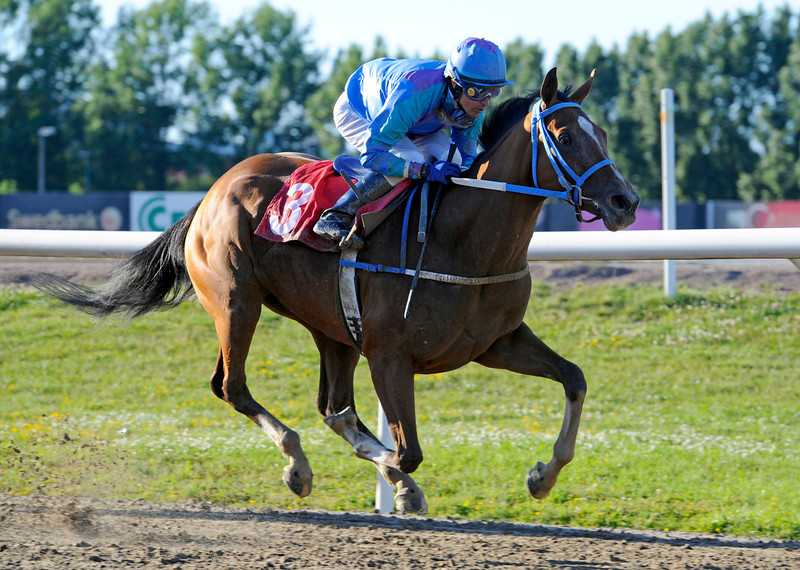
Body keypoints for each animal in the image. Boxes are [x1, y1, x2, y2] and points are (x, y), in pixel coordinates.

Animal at [34, 69, 640, 512]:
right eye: (565, 136)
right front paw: (400, 482)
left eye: (606, 135)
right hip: (236, 301)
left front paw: (542, 476)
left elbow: (575, 379)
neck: (462, 240)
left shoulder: (495, 342)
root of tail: (211, 192)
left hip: (332, 327)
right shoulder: (390, 355)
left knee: (333, 408)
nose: (625, 202)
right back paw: (296, 465)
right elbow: (409, 450)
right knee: (233, 386)